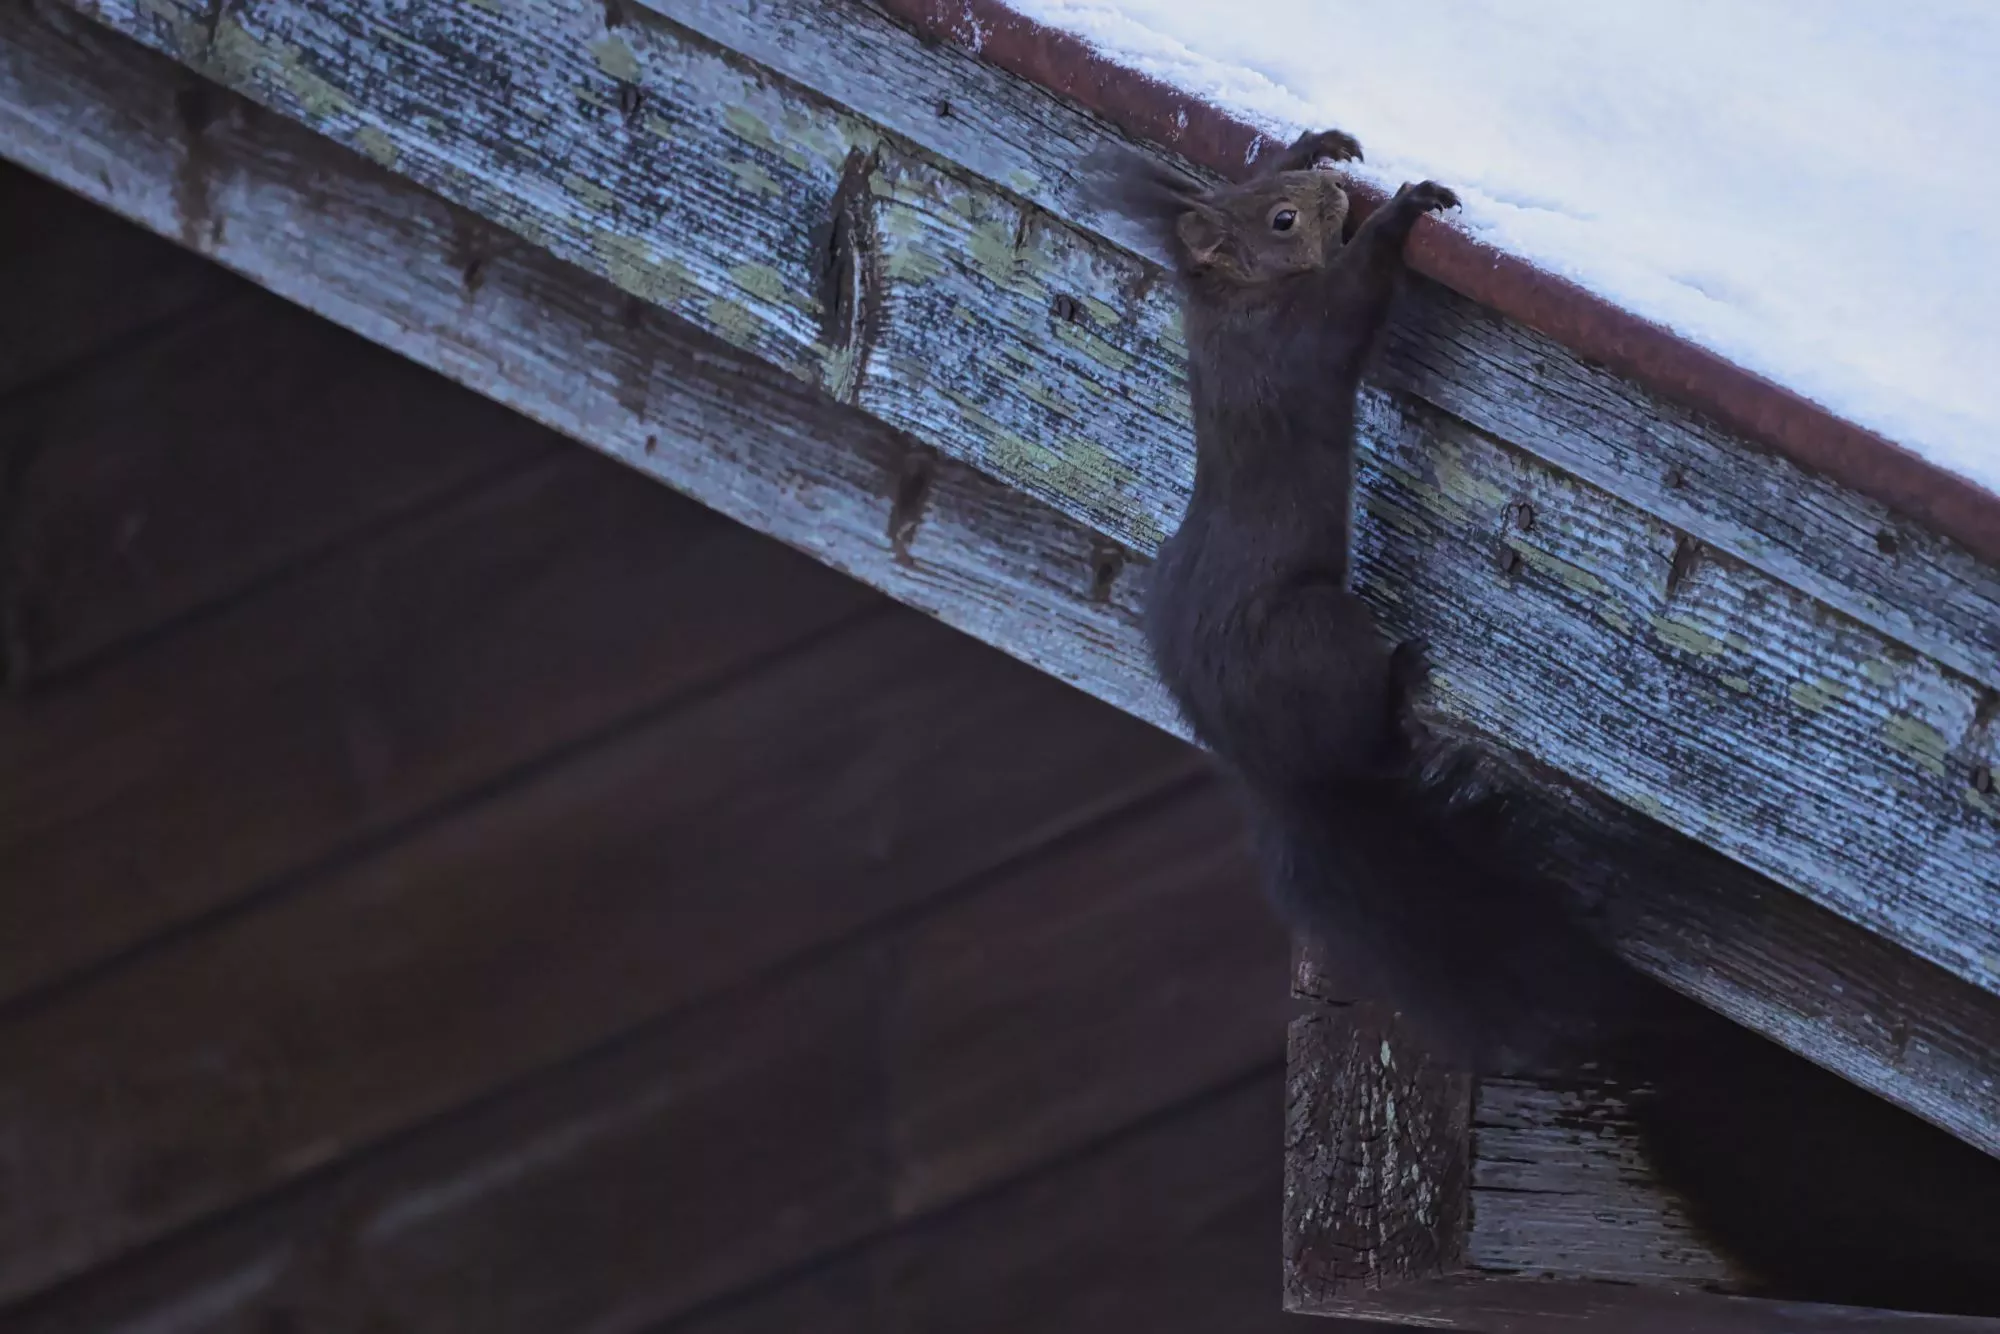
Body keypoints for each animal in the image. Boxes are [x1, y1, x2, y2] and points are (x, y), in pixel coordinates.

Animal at [1081, 130, 1637, 1071]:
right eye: (1282, 220)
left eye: (1281, 192)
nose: (1333, 193)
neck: (1233, 299)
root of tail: (1274, 774)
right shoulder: (1304, 334)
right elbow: (1356, 299)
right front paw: (1405, 210)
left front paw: (1320, 142)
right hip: (1319, 631)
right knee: (1374, 743)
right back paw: (1403, 680)